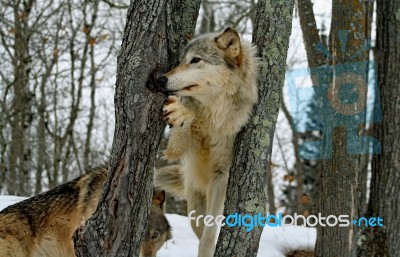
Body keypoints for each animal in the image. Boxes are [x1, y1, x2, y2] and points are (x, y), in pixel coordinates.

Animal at [155, 27, 258, 256]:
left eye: (195, 60)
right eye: (180, 61)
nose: (161, 80)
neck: (212, 119)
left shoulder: (221, 176)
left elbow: (209, 235)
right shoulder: (176, 148)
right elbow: (177, 142)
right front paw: (182, 112)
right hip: (193, 202)